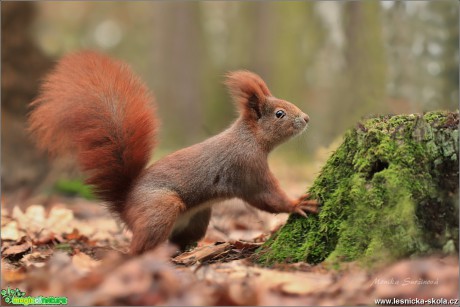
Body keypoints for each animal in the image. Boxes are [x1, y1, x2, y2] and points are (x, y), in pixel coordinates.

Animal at [27, 51, 316, 255]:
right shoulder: (247, 168)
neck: (250, 138)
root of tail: (125, 206)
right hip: (161, 207)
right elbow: (266, 196)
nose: (306, 118)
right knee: (139, 248)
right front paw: (298, 204)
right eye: (280, 114)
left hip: (199, 216)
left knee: (180, 240)